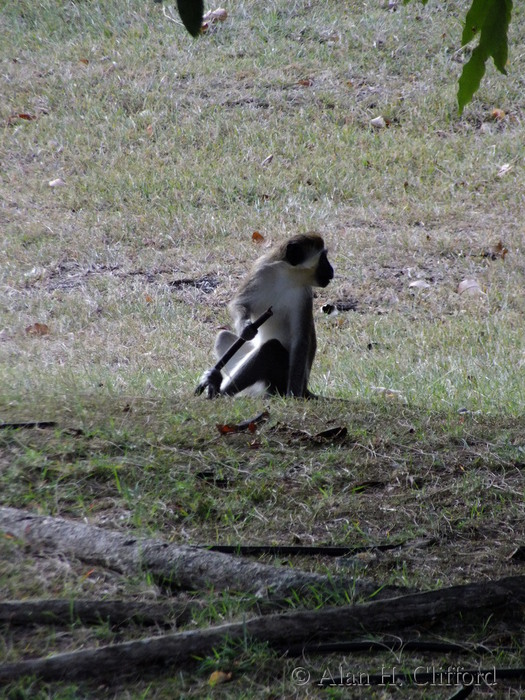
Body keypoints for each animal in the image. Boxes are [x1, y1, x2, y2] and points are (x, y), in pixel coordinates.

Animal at [198, 233, 334, 398]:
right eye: (323, 259)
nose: (331, 270)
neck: (287, 275)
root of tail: (306, 388)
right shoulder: (261, 270)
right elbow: (239, 303)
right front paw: (246, 328)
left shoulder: (303, 295)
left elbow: (300, 340)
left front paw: (293, 395)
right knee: (223, 336)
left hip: (280, 379)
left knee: (270, 348)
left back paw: (217, 389)